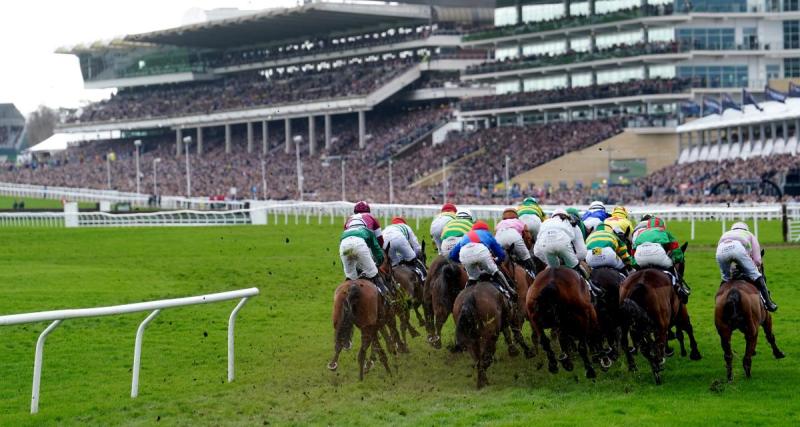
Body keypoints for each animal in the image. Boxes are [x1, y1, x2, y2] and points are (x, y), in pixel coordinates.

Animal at [324, 247, 400, 382]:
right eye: (391, 265)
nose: (394, 284)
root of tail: (352, 288)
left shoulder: (376, 325)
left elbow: (380, 344)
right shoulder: (388, 318)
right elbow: (390, 338)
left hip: (340, 321)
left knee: (340, 342)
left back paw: (335, 364)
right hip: (368, 327)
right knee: (362, 352)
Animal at [620, 256, 700, 386]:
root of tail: (640, 282)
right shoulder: (680, 309)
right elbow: (687, 327)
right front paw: (695, 353)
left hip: (626, 323)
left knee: (631, 344)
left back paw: (638, 366)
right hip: (660, 322)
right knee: (659, 342)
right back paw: (658, 365)